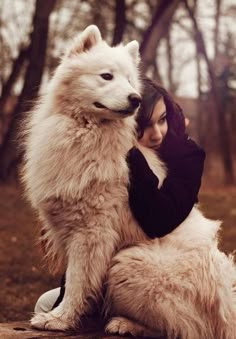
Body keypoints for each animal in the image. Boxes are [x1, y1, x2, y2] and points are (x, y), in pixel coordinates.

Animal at [22, 25, 236, 338]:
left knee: (179, 327)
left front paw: (60, 318)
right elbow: (72, 280)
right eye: (106, 76)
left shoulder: (91, 231)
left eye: (130, 81)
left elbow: (77, 280)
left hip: (127, 264)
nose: (135, 98)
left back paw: (123, 323)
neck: (87, 133)